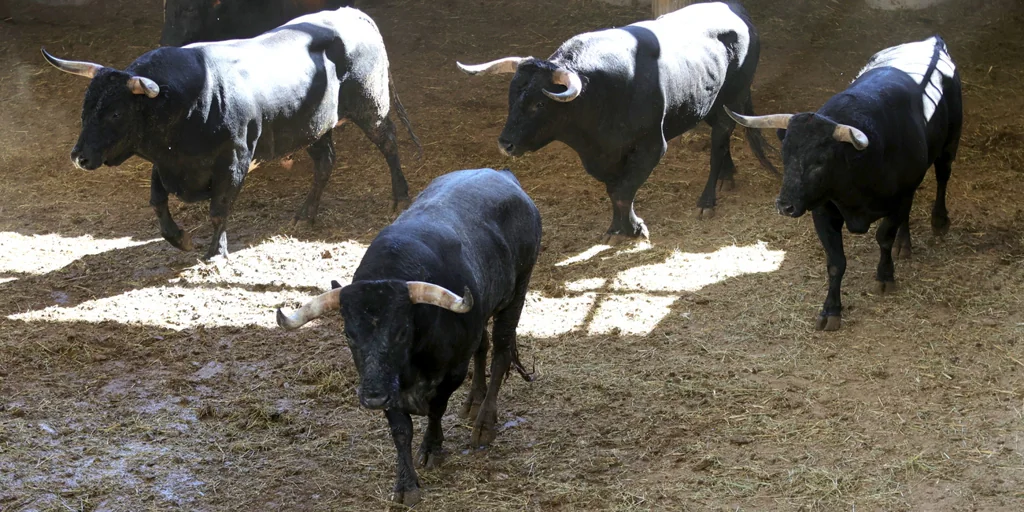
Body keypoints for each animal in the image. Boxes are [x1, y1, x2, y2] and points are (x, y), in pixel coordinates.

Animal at [43, 9, 419, 260]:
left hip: (370, 105)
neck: (194, 99)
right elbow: (158, 202)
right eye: (85, 107)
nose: (79, 157)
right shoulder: (165, 162)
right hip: (313, 127)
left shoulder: (233, 160)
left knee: (388, 142)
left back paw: (400, 197)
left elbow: (218, 209)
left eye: (116, 112)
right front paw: (180, 238)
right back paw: (305, 214)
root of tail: (351, 14)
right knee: (325, 162)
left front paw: (216, 252)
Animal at [272, 168, 544, 507]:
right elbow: (401, 430)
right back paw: (473, 402)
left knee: (501, 352)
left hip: (517, 291)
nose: (372, 397)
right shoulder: (388, 386)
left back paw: (484, 422)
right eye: (349, 334)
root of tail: (504, 174)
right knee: (483, 347)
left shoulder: (451, 372)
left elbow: (437, 409)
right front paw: (406, 483)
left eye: (402, 331)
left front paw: (432, 448)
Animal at [729, 36, 958, 331]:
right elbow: (836, 262)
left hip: (950, 143)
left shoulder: (897, 199)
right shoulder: (822, 211)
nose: (785, 206)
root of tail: (931, 41)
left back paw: (939, 221)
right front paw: (831, 310)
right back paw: (904, 244)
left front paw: (885, 276)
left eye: (820, 161)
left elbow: (884, 236)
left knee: (943, 175)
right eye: (784, 154)